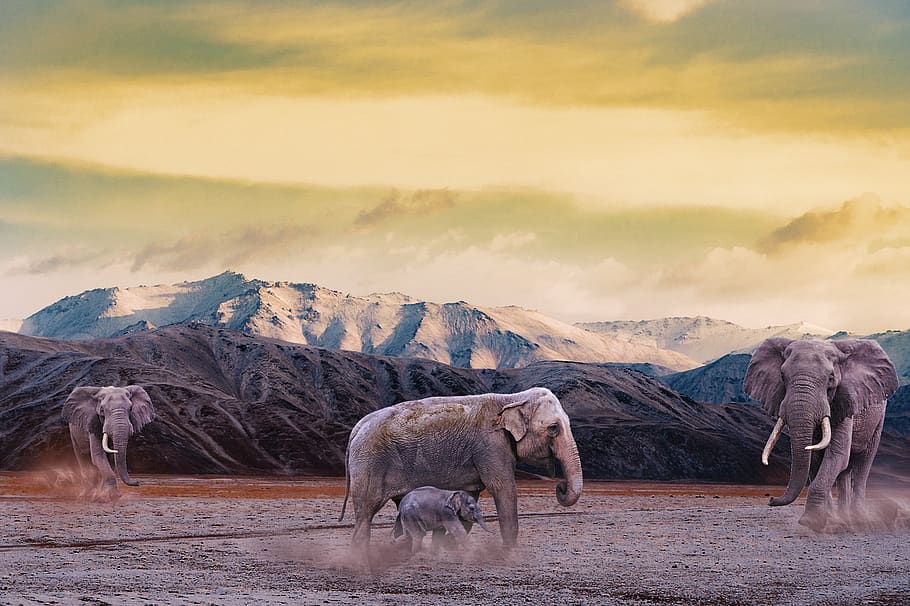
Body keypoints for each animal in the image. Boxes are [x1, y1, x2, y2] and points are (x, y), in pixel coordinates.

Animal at [339, 387, 582, 554]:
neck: (512, 398)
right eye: (553, 428)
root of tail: (357, 428)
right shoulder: (490, 447)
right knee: (366, 513)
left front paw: (447, 545)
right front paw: (509, 552)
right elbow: (502, 488)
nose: (560, 486)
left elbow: (471, 495)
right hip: (369, 463)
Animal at [743, 338, 898, 531]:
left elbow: (837, 454)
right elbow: (815, 460)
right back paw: (843, 518)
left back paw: (858, 519)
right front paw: (826, 519)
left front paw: (811, 522)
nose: (771, 499)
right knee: (844, 473)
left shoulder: (845, 400)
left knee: (863, 464)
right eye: (782, 376)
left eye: (831, 378)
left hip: (878, 419)